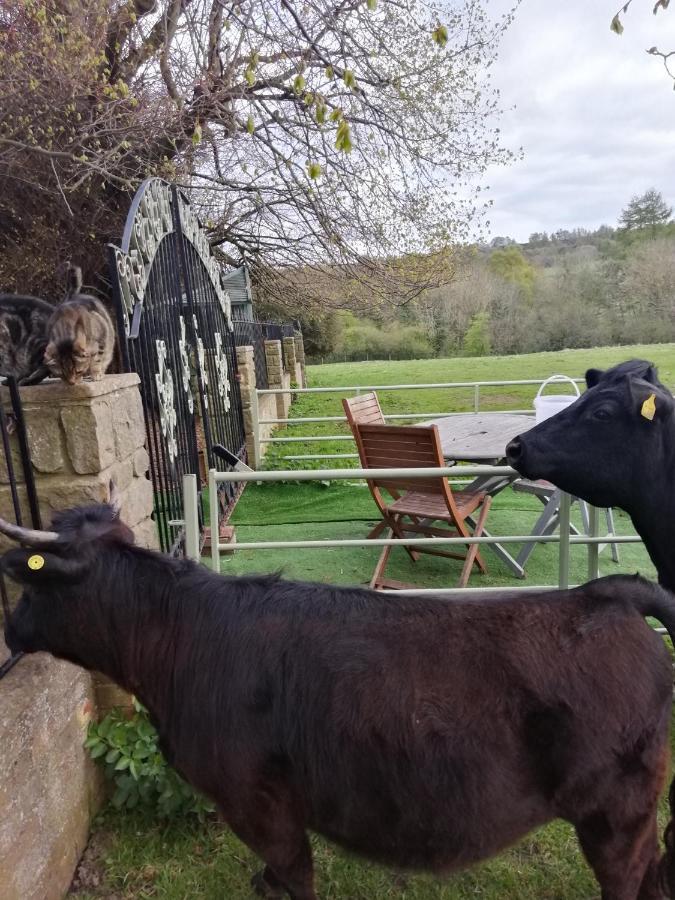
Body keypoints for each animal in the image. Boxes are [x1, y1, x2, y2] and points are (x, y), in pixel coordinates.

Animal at [3, 492, 675, 900]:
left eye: (32, 584)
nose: (9, 630)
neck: (184, 636)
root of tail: (606, 594)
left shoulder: (258, 803)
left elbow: (295, 874)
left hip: (617, 812)